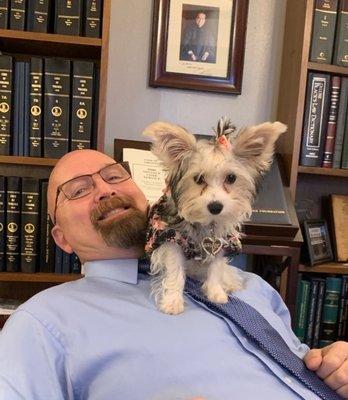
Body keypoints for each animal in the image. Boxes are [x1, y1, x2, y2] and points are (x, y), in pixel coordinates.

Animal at [143, 119, 286, 316]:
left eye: (231, 178)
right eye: (198, 178)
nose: (216, 207)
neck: (207, 223)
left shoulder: (223, 242)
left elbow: (217, 267)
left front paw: (215, 292)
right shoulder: (172, 238)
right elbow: (175, 270)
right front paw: (172, 300)